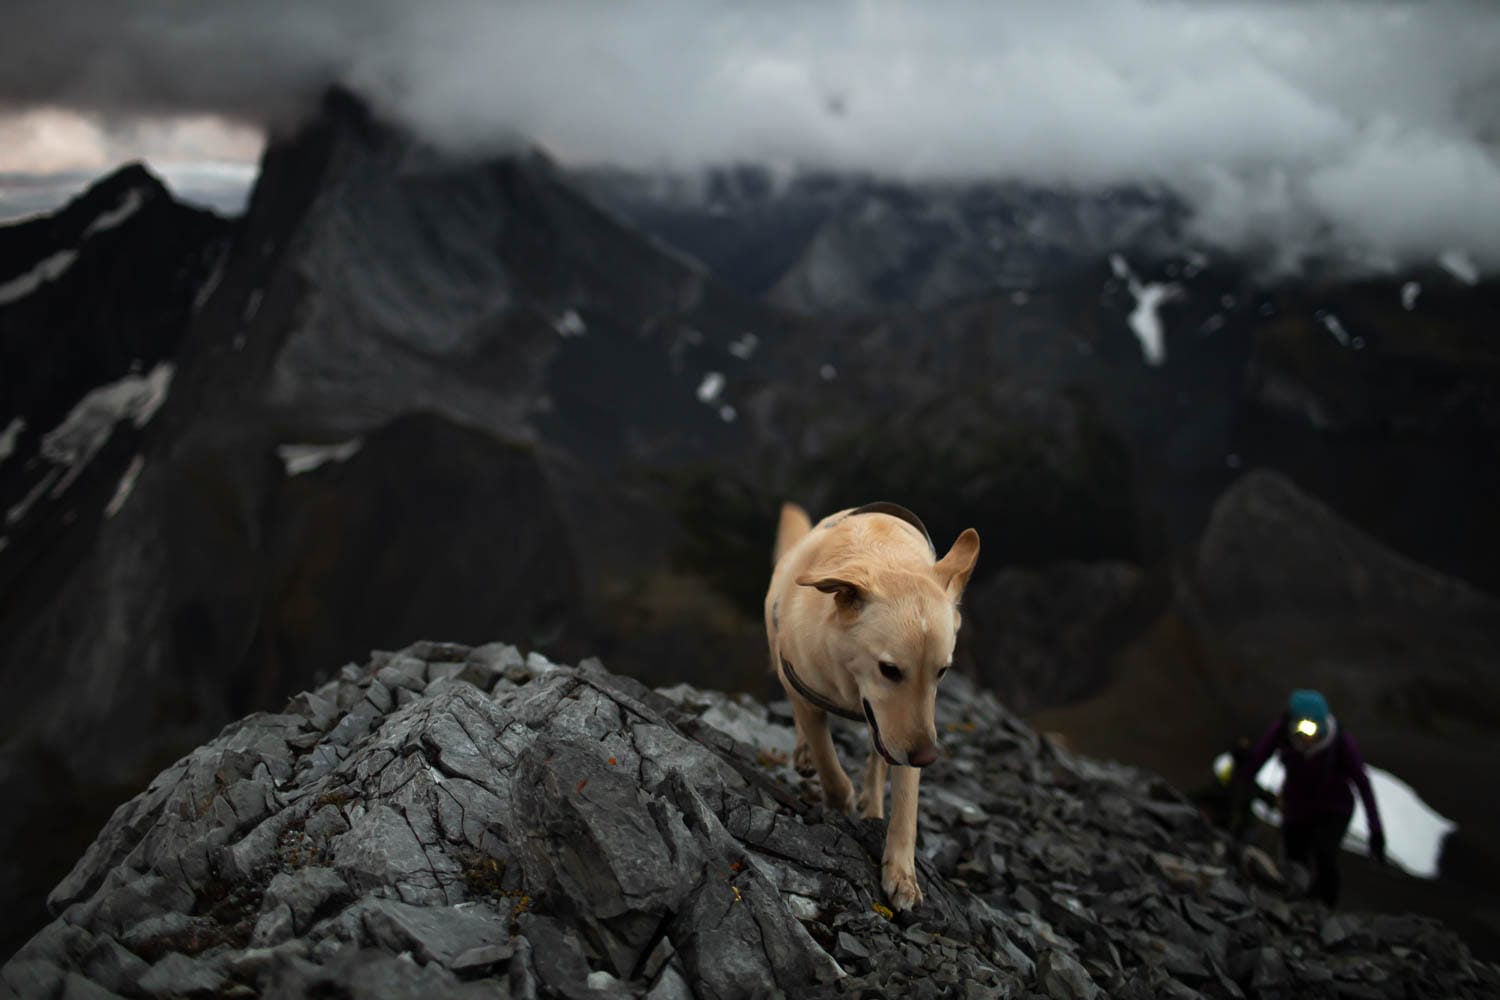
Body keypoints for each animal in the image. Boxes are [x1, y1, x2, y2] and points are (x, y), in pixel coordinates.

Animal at [762, 497, 984, 905]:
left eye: (942, 671)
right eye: (889, 669)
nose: (928, 756)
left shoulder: (910, 732)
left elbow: (907, 803)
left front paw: (901, 872)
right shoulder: (806, 693)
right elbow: (829, 766)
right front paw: (839, 804)